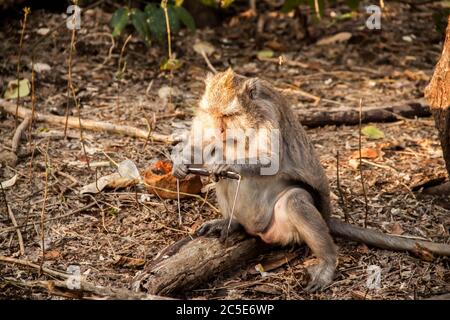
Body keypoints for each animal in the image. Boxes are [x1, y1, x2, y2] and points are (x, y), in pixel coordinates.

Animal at [171, 69, 450, 292]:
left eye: (229, 115)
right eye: (213, 113)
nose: (219, 130)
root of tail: (257, 230)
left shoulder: (269, 117)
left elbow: (270, 161)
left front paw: (226, 164)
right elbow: (200, 145)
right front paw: (181, 161)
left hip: (285, 225)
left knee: (295, 200)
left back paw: (327, 262)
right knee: (223, 182)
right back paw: (232, 222)